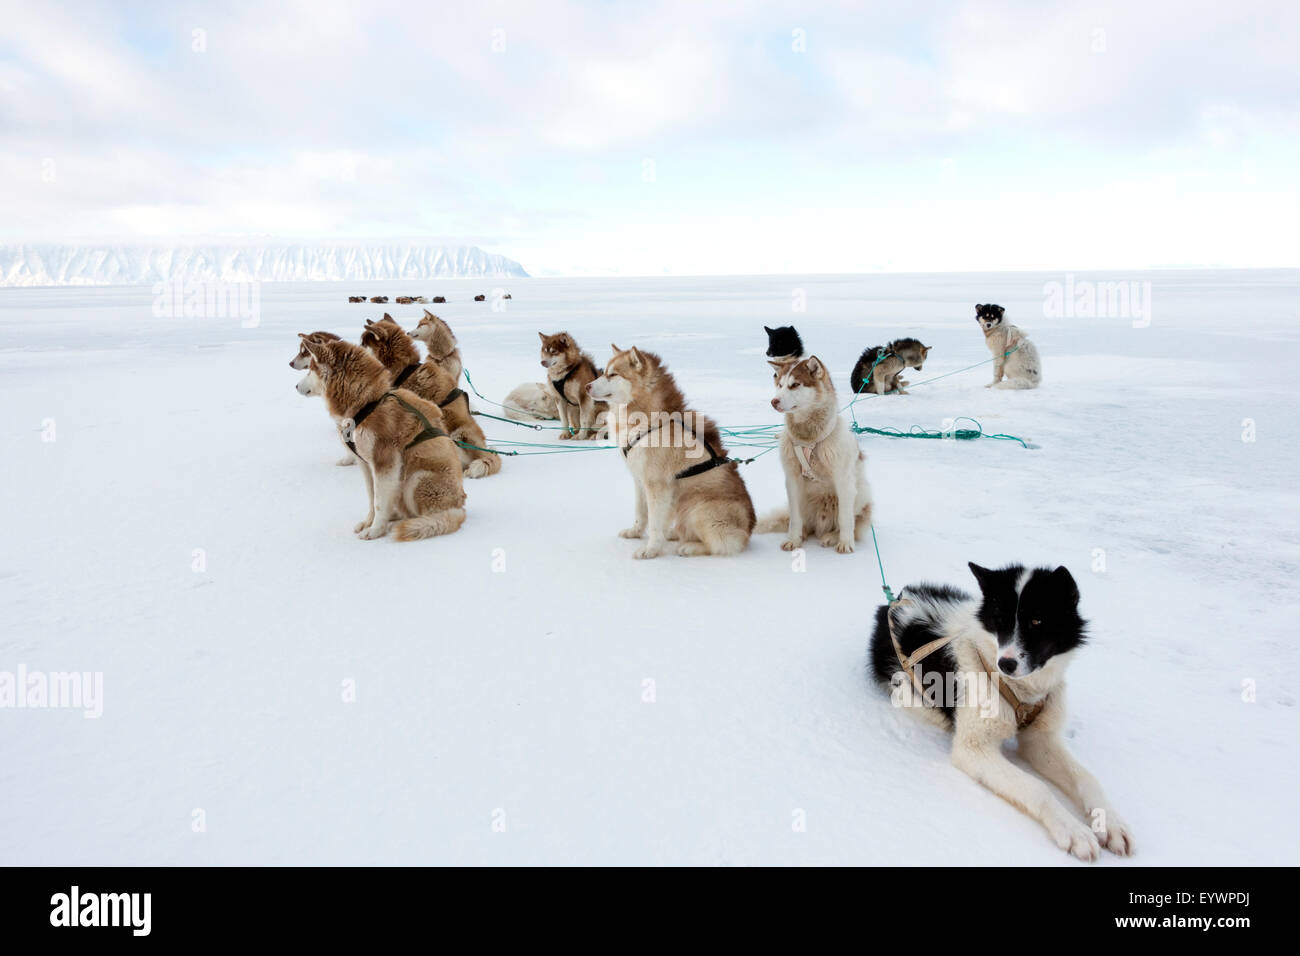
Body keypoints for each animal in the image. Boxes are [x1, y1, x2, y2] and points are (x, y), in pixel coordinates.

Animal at [297, 335, 467, 541]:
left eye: (310, 370)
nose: (295, 386)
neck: (368, 402)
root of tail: (460, 508)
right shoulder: (366, 464)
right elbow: (372, 498)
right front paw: (369, 522)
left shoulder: (385, 463)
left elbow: (379, 501)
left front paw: (375, 530)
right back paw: (393, 516)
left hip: (415, 478)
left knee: (428, 515)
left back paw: (419, 523)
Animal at [587, 348, 754, 561]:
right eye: (604, 371)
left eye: (613, 374)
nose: (586, 386)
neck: (650, 422)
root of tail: (749, 530)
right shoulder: (639, 480)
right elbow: (641, 514)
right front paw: (635, 533)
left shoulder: (657, 485)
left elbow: (655, 523)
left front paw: (650, 550)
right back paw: (674, 533)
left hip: (696, 507)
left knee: (721, 545)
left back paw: (689, 547)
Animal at [754, 356, 873, 554]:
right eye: (780, 385)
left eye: (795, 385)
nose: (774, 401)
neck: (808, 439)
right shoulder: (792, 480)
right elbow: (795, 519)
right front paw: (793, 540)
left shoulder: (844, 482)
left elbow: (846, 519)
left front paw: (845, 542)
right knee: (802, 522)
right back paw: (803, 533)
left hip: (860, 493)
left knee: (850, 521)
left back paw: (832, 536)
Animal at [868, 564, 1133, 863]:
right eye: (999, 621)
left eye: (1037, 621)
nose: (1006, 663)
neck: (1020, 690)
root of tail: (896, 601)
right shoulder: (973, 749)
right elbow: (1037, 787)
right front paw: (1073, 830)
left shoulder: (1041, 741)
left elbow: (1086, 777)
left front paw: (1108, 820)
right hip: (901, 683)